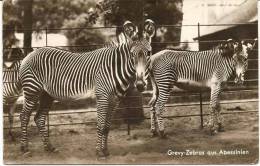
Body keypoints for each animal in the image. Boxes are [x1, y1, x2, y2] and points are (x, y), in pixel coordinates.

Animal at [19, 19, 155, 158]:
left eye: (149, 53)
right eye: (132, 54)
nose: (140, 85)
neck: (115, 68)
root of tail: (30, 54)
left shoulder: (114, 100)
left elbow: (107, 126)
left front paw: (105, 151)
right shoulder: (102, 97)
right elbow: (100, 125)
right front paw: (99, 152)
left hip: (46, 95)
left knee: (39, 118)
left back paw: (49, 147)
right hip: (32, 90)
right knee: (24, 116)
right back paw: (25, 148)